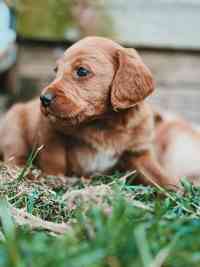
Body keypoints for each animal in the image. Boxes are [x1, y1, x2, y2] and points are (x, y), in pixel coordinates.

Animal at [0, 36, 178, 188]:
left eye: (81, 71)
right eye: (56, 70)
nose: (43, 99)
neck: (103, 123)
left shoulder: (138, 153)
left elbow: (158, 176)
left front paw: (177, 193)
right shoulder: (50, 131)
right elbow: (54, 162)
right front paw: (54, 180)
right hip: (13, 125)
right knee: (14, 155)